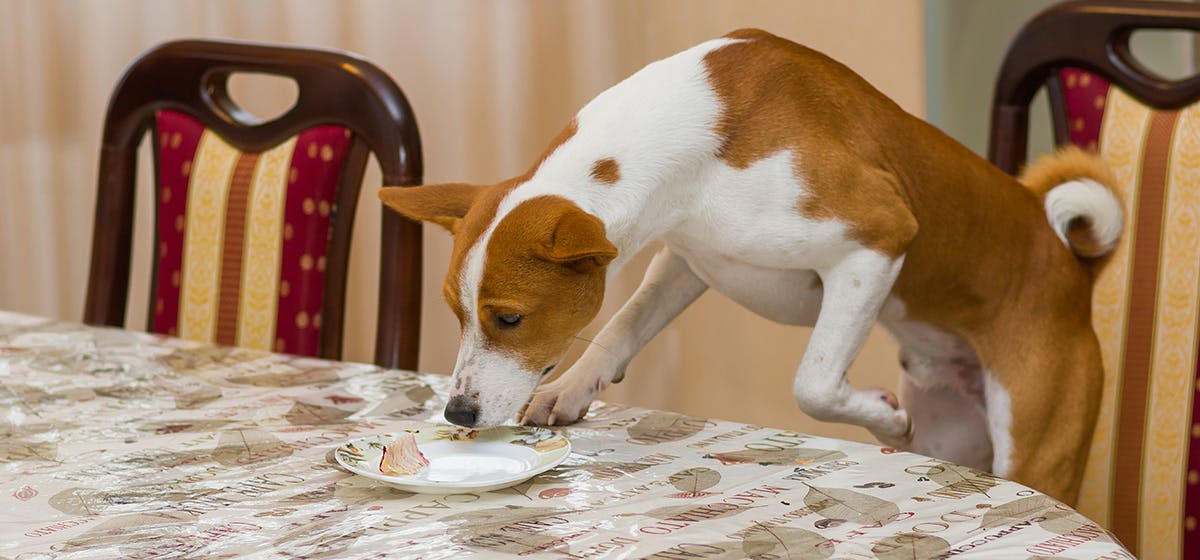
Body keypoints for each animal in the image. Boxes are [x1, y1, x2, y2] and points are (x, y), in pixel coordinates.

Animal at [379, 28, 1118, 506]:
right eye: (457, 313)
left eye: (509, 318)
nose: (459, 412)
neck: (699, 133)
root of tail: (1073, 272)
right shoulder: (689, 258)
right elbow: (620, 327)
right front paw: (572, 388)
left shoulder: (875, 240)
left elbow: (813, 383)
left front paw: (879, 418)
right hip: (957, 435)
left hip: (1034, 446)